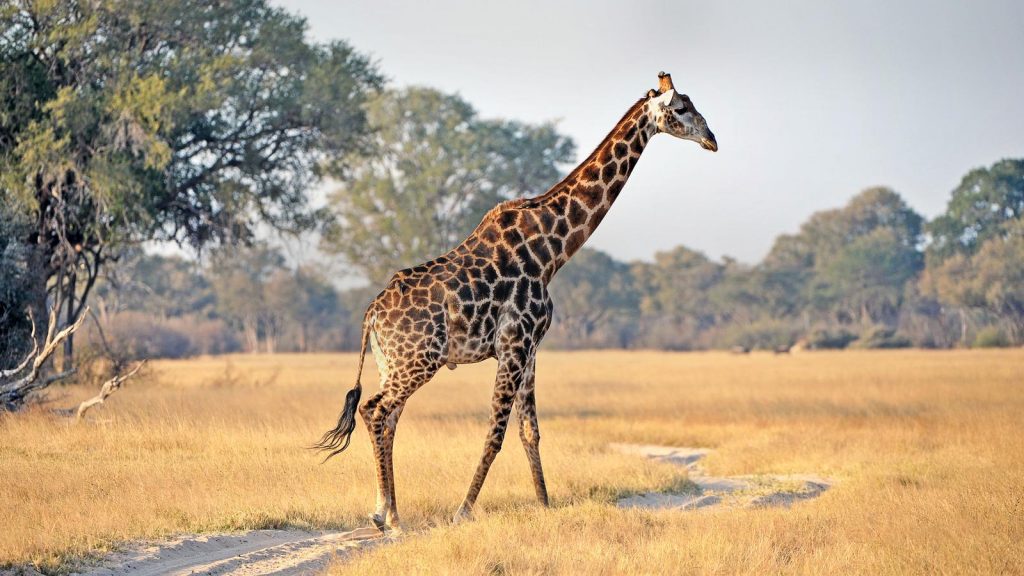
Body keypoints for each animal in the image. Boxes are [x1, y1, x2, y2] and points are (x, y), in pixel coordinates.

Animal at [315, 72, 717, 531]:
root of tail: (371, 315)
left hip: (392, 363)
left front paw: (545, 505)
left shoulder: (531, 347)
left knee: (387, 416)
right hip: (418, 360)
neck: (552, 251)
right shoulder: (514, 343)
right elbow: (496, 432)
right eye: (682, 108)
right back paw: (391, 518)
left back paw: (387, 509)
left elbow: (530, 431)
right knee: (376, 411)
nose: (712, 140)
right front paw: (463, 511)